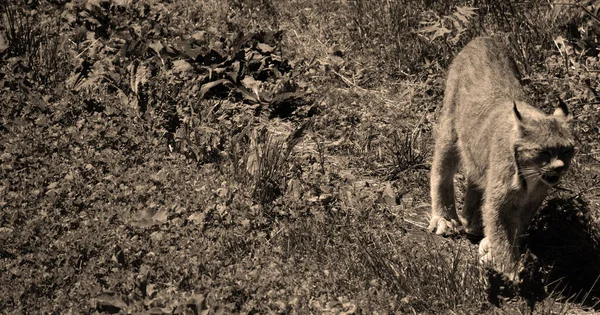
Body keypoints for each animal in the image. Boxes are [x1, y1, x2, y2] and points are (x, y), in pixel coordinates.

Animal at [426, 35, 576, 280]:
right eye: (544, 152)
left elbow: (517, 227)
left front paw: (492, 249)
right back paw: (444, 218)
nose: (560, 167)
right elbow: (502, 230)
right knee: (441, 170)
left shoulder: (533, 199)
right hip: (450, 129)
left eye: (567, 150)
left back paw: (472, 219)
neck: (529, 176)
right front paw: (510, 270)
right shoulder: (501, 201)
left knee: (475, 175)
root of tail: (484, 37)